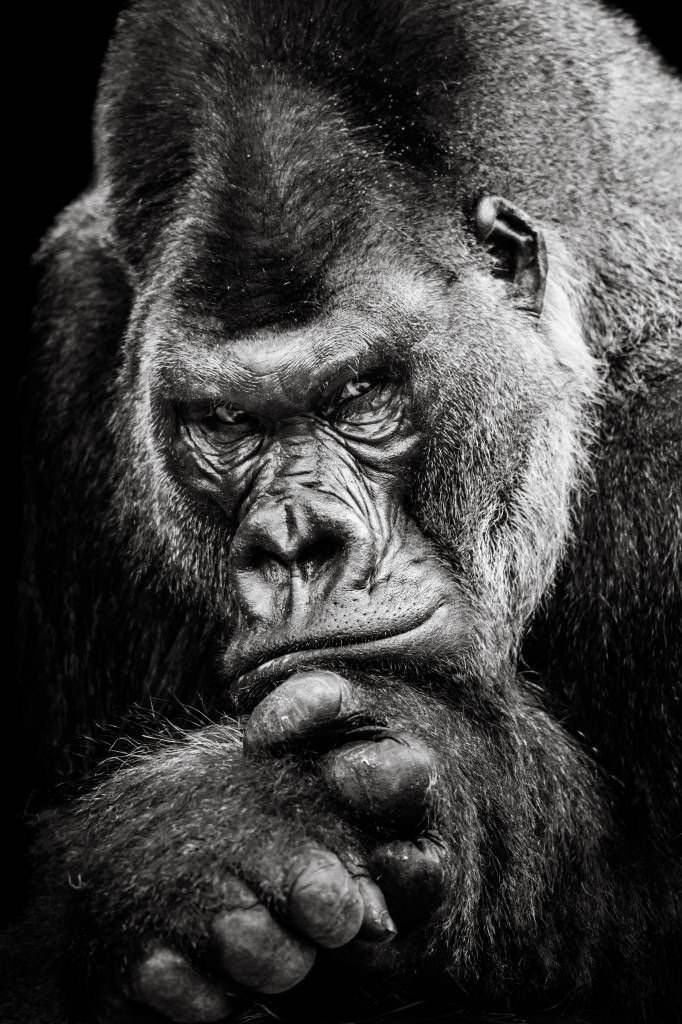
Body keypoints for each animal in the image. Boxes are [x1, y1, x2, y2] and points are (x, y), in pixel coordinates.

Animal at [6, 1, 681, 1022]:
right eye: (226, 422)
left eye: (362, 394)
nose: (295, 542)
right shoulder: (68, 339)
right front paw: (190, 848)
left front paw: (460, 778)